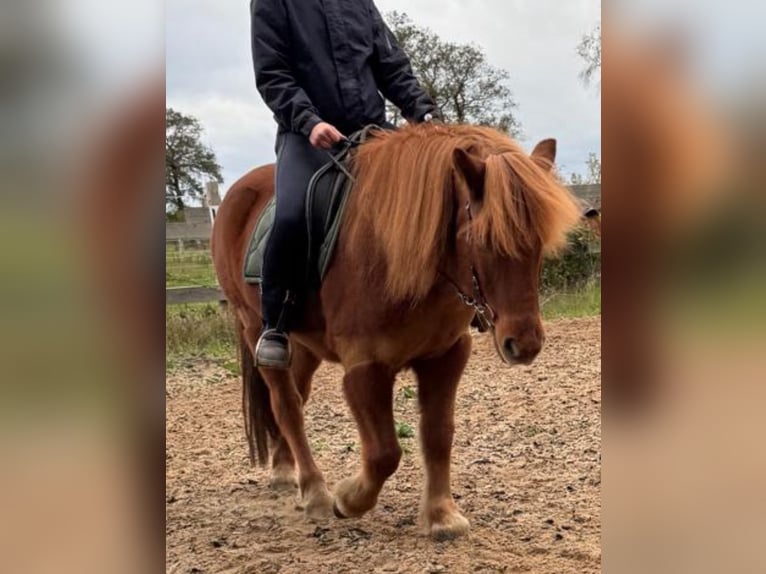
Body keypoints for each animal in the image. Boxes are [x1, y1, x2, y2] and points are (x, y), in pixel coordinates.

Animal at [211, 123, 582, 540]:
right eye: (483, 240)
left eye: (538, 244)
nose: (524, 344)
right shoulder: (365, 368)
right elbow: (385, 453)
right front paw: (349, 500)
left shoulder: (446, 357)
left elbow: (438, 434)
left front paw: (441, 515)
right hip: (255, 326)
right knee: (287, 405)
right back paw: (315, 491)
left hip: (303, 345)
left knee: (296, 399)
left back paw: (284, 468)